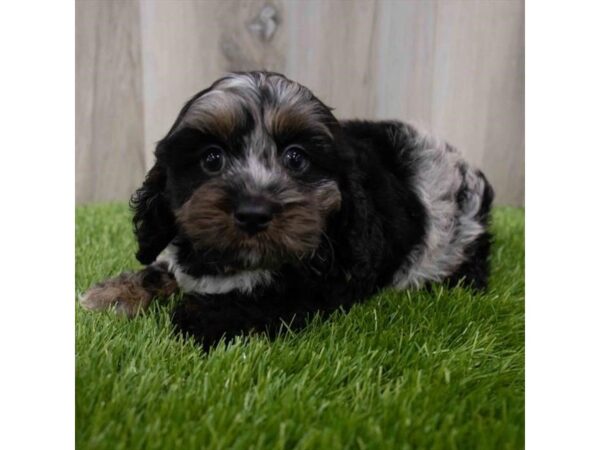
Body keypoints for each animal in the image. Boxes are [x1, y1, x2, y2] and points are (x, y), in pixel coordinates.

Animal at [78, 71, 492, 352]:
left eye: (296, 158)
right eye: (211, 158)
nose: (253, 212)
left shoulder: (317, 286)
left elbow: (255, 302)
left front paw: (195, 319)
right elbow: (162, 268)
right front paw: (112, 293)